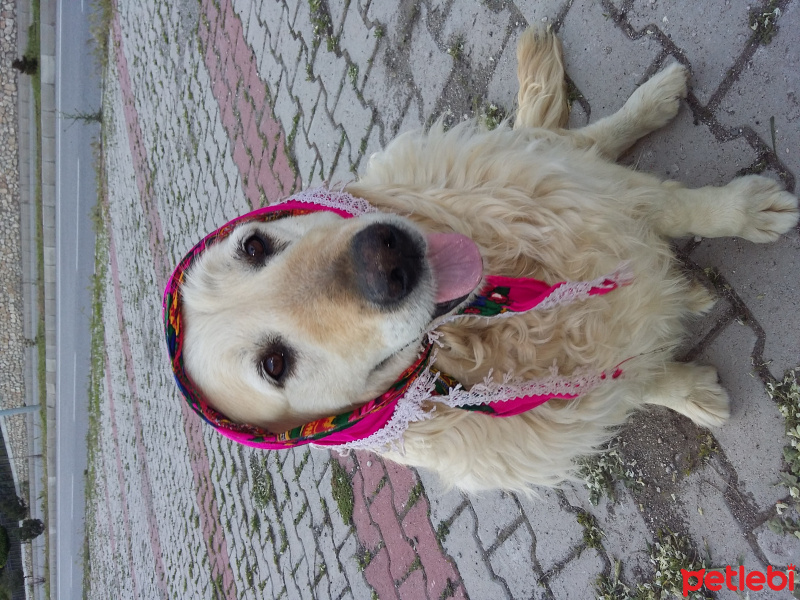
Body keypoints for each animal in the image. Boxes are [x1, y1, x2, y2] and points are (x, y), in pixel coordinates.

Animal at [172, 29, 796, 492]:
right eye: (275, 365)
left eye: (254, 246)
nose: (385, 255)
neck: (496, 313)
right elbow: (633, 380)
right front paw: (686, 392)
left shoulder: (587, 200)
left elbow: (680, 206)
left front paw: (743, 211)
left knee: (586, 141)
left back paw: (656, 97)